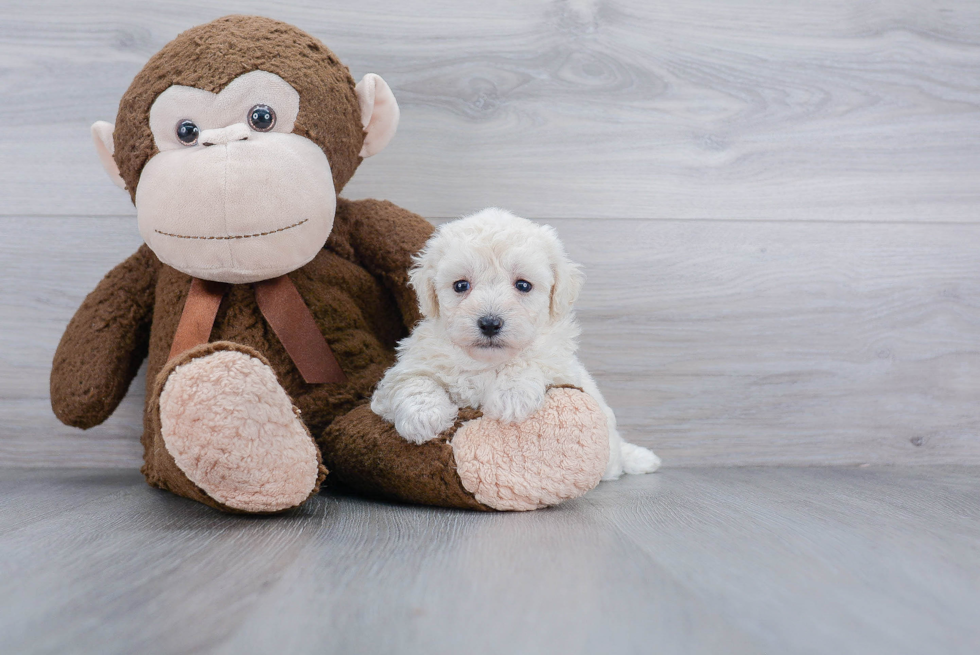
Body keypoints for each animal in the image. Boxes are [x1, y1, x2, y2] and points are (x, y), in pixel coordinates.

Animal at [372, 208, 664, 480]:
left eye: (523, 285)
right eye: (460, 285)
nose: (490, 323)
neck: (486, 363)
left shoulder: (563, 369)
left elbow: (528, 361)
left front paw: (510, 396)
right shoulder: (404, 372)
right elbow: (414, 381)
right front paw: (424, 417)